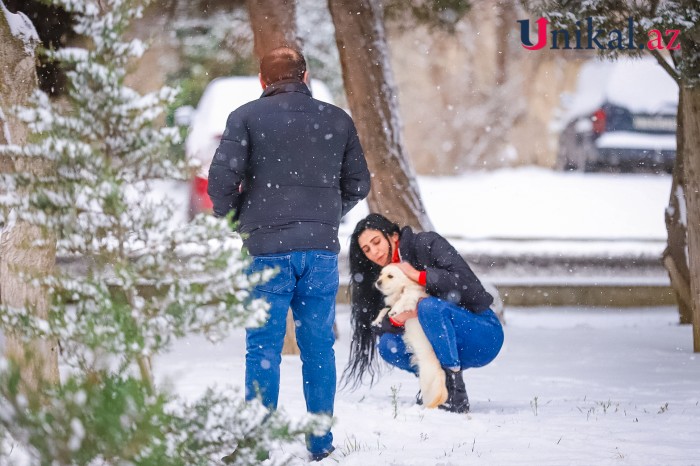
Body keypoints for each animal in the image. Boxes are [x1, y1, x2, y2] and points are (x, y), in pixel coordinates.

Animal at [372, 264, 448, 410]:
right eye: (380, 274)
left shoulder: (412, 295)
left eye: (390, 276)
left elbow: (402, 300)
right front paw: (377, 320)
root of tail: (438, 369)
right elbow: (384, 310)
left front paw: (395, 310)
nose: (378, 282)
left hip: (426, 381)